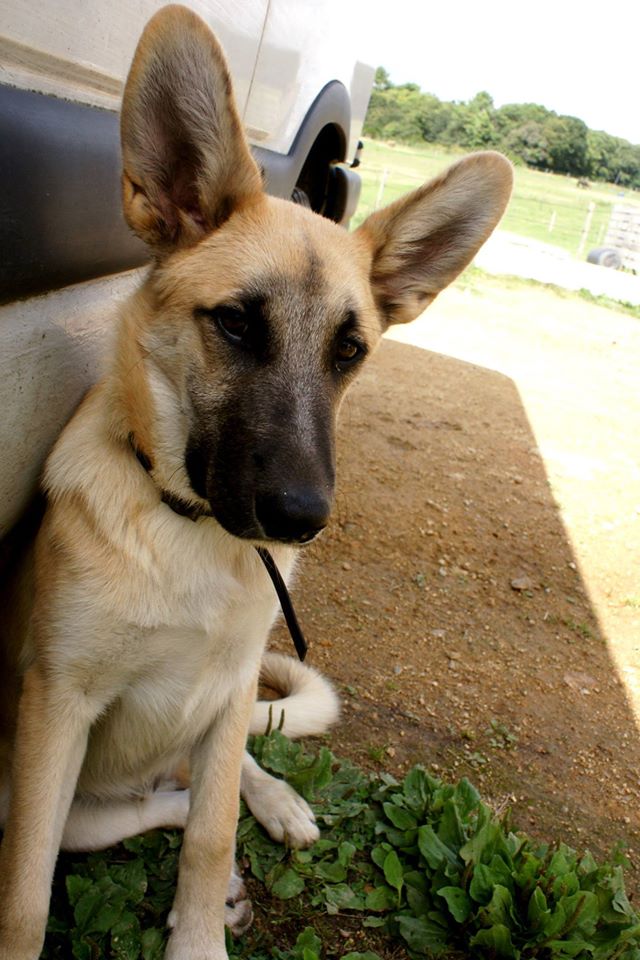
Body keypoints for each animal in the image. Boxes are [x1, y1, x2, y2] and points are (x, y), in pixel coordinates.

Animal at [0, 7, 512, 960]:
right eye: (237, 323)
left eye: (349, 351)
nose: (301, 519)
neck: (190, 534)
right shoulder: (55, 713)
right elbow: (25, 895)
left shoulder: (231, 688)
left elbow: (209, 837)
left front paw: (203, 930)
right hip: (64, 797)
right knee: (155, 805)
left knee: (213, 790)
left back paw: (276, 806)